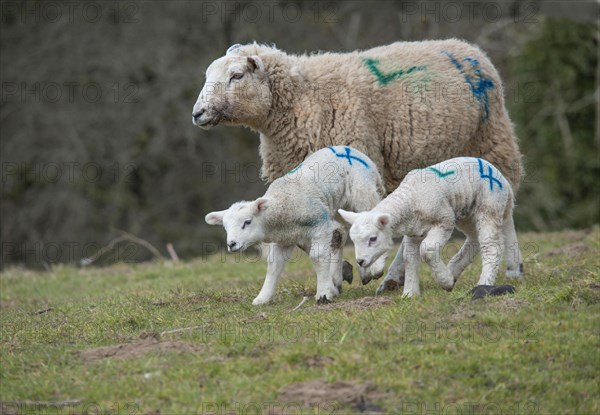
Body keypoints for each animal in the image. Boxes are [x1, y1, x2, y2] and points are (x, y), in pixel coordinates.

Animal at [205, 147, 384, 306]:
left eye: (247, 222)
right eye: (225, 227)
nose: (231, 244)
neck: (283, 205)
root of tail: (352, 150)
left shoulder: (320, 225)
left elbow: (317, 257)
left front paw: (324, 293)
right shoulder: (284, 239)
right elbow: (274, 265)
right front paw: (263, 298)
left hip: (362, 193)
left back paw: (376, 268)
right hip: (338, 209)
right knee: (342, 233)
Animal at [340, 157, 524, 300]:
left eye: (373, 239)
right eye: (354, 241)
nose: (360, 261)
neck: (409, 199)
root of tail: (504, 182)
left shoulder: (444, 220)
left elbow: (427, 250)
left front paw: (445, 281)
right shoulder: (413, 231)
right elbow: (409, 258)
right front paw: (409, 294)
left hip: (489, 205)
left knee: (491, 247)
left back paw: (482, 284)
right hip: (466, 212)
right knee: (474, 238)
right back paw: (453, 271)